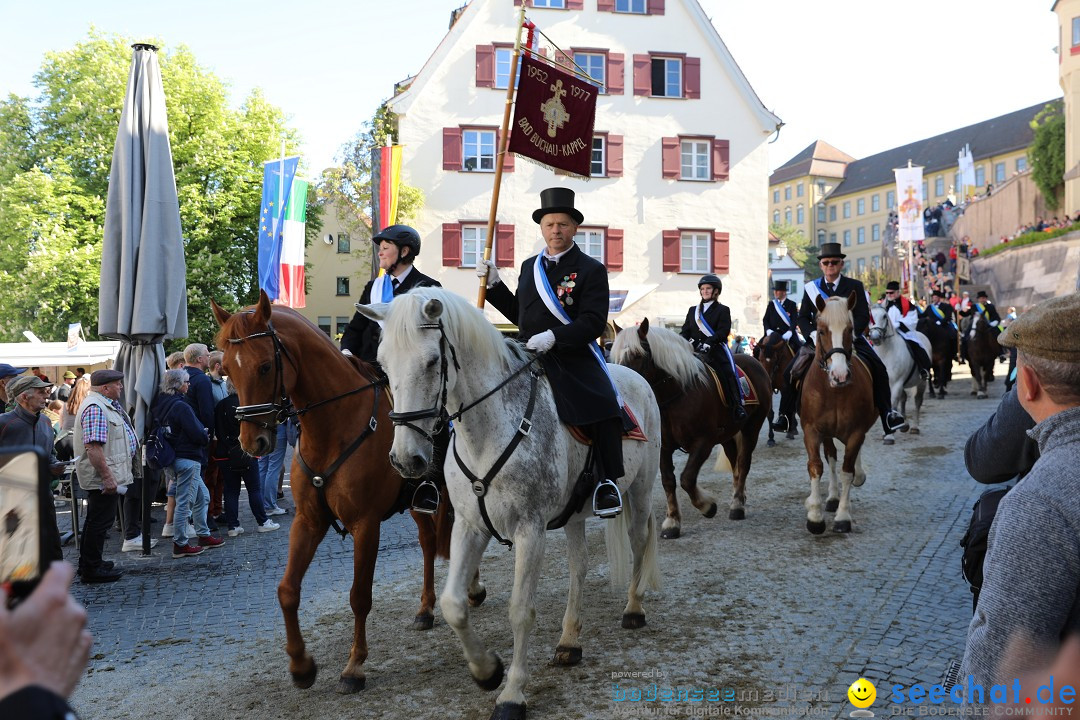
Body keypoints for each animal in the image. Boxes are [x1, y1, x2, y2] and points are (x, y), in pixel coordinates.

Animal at [210, 293, 464, 699]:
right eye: (228, 373)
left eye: (265, 367)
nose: (252, 443)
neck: (333, 427)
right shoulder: (308, 521)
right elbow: (287, 590)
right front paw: (301, 666)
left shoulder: (366, 525)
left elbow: (359, 596)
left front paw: (353, 667)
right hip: (417, 500)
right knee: (427, 542)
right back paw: (425, 610)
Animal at [356, 287, 656, 720]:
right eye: (382, 364)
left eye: (432, 362)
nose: (406, 459)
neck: (485, 430)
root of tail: (633, 375)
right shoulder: (469, 525)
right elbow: (453, 604)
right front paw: (487, 671)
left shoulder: (530, 530)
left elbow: (520, 610)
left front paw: (512, 693)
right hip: (574, 513)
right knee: (579, 566)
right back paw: (569, 642)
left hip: (641, 490)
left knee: (639, 541)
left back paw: (633, 609)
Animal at [613, 317, 773, 537]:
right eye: (615, 356)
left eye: (637, 355)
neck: (677, 395)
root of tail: (755, 363)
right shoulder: (663, 447)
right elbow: (668, 480)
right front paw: (672, 521)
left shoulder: (703, 442)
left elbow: (687, 479)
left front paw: (707, 506)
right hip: (727, 435)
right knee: (735, 463)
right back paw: (737, 496)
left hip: (751, 428)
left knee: (743, 463)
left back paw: (737, 505)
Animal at [799, 293, 881, 535]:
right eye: (821, 330)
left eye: (849, 329)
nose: (840, 375)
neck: (833, 390)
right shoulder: (812, 430)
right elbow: (816, 466)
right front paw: (815, 517)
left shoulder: (856, 432)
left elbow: (847, 470)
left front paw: (843, 517)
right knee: (831, 456)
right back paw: (832, 497)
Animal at [868, 306, 928, 444]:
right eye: (870, 316)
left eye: (884, 316)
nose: (875, 337)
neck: (886, 353)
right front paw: (887, 431)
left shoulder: (896, 383)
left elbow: (892, 403)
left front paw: (890, 435)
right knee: (904, 399)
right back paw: (904, 424)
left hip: (921, 382)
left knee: (917, 401)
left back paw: (915, 427)